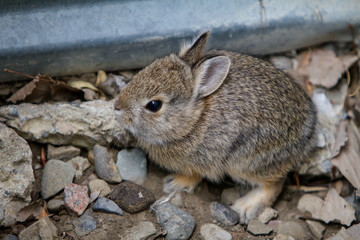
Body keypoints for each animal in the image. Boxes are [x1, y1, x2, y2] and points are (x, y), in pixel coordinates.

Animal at [114, 31, 316, 223]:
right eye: (143, 71)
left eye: (154, 105)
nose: (116, 106)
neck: (194, 121)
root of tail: (307, 133)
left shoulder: (204, 162)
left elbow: (194, 175)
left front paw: (174, 184)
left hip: (248, 160)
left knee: (275, 183)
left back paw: (246, 207)